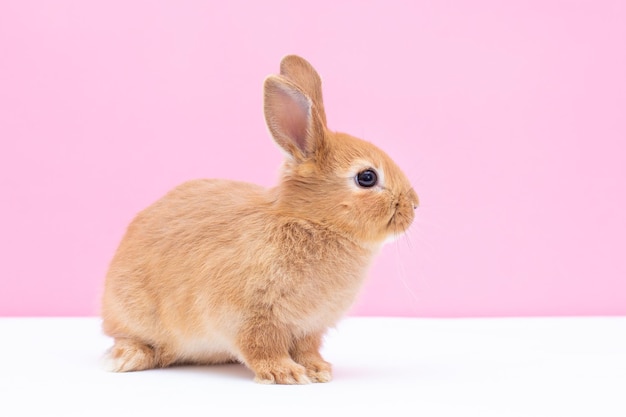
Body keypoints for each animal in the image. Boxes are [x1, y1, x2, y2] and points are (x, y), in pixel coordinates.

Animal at [100, 55, 416, 384]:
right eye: (367, 177)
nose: (414, 206)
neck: (310, 220)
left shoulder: (309, 326)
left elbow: (307, 348)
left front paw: (318, 370)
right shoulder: (251, 316)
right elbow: (263, 346)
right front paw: (285, 373)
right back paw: (127, 358)